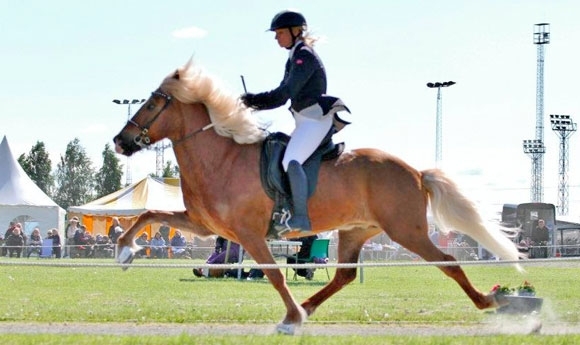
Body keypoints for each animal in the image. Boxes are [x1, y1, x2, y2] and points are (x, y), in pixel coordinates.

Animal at [111, 58, 520, 334]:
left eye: (152, 103)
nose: (119, 141)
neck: (222, 157)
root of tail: (416, 172)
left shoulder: (248, 234)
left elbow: (275, 275)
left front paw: (290, 317)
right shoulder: (203, 225)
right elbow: (148, 214)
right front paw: (125, 252)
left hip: (407, 231)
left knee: (448, 262)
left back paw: (491, 300)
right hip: (356, 231)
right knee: (343, 276)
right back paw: (308, 306)